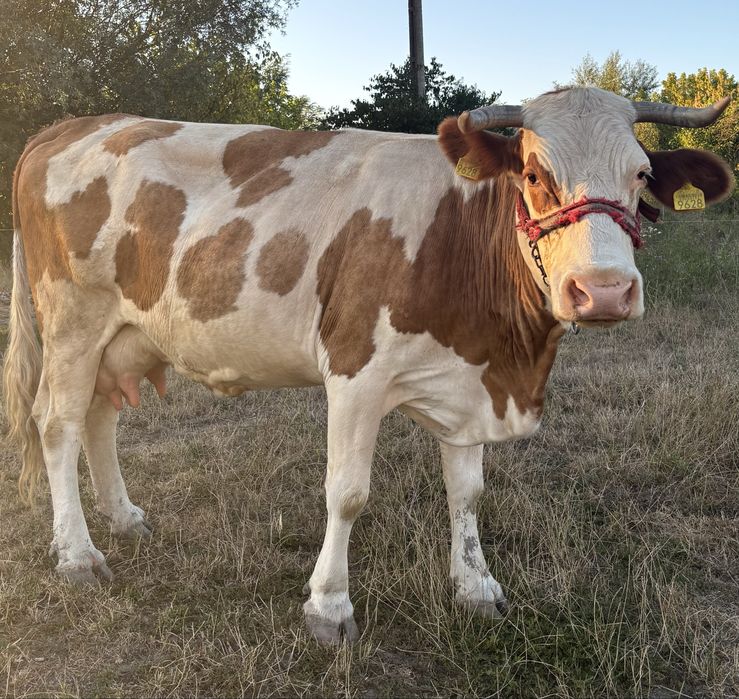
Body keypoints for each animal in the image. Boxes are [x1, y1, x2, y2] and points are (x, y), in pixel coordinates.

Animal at [2, 87, 733, 644]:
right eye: (532, 175)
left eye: (641, 175)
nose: (604, 291)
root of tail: (71, 125)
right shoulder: (354, 370)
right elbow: (347, 493)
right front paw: (328, 606)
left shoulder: (468, 380)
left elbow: (467, 492)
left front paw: (475, 586)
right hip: (71, 320)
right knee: (58, 424)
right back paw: (77, 553)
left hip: (122, 333)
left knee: (99, 416)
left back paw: (123, 517)